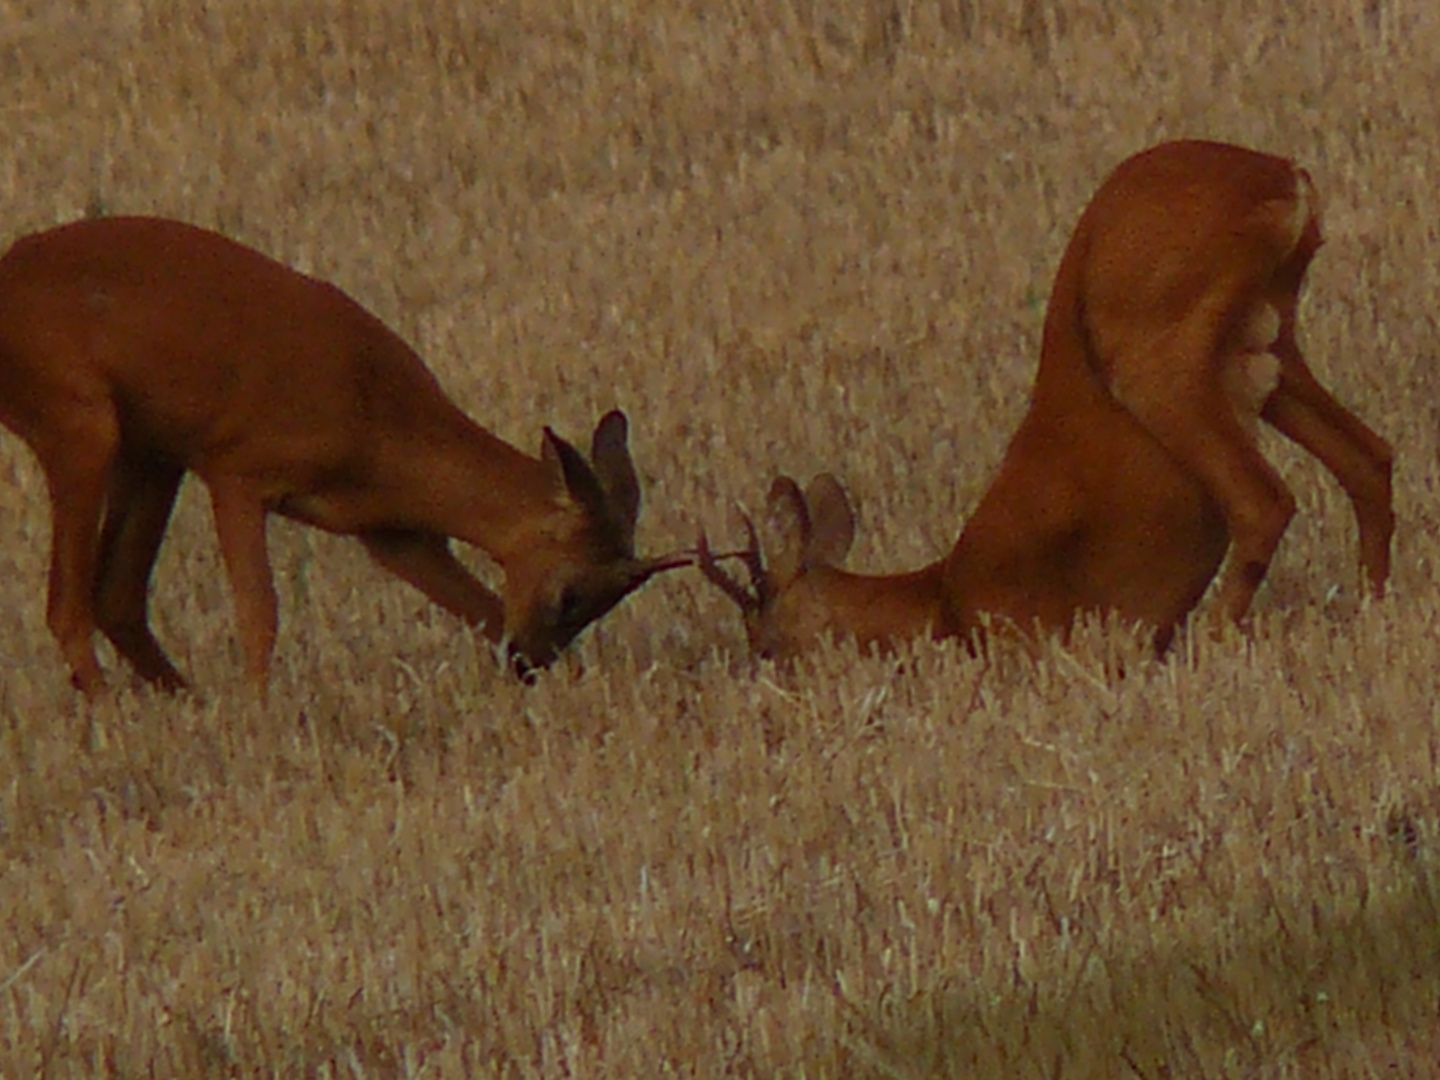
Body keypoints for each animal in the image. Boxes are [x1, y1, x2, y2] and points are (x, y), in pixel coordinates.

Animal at [0, 217, 688, 694]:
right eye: (571, 592)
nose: (529, 661)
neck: (374, 420)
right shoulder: (236, 467)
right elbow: (260, 610)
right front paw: (260, 711)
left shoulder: (391, 531)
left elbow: (482, 606)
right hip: (82, 425)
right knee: (67, 604)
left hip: (150, 452)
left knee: (115, 595)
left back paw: (183, 702)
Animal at [699, 139, 1393, 665]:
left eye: (765, 642)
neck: (942, 599)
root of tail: (1285, 178)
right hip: (1272, 345)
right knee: (1369, 457)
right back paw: (1372, 606)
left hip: (1158, 358)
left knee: (1264, 500)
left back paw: (1215, 639)